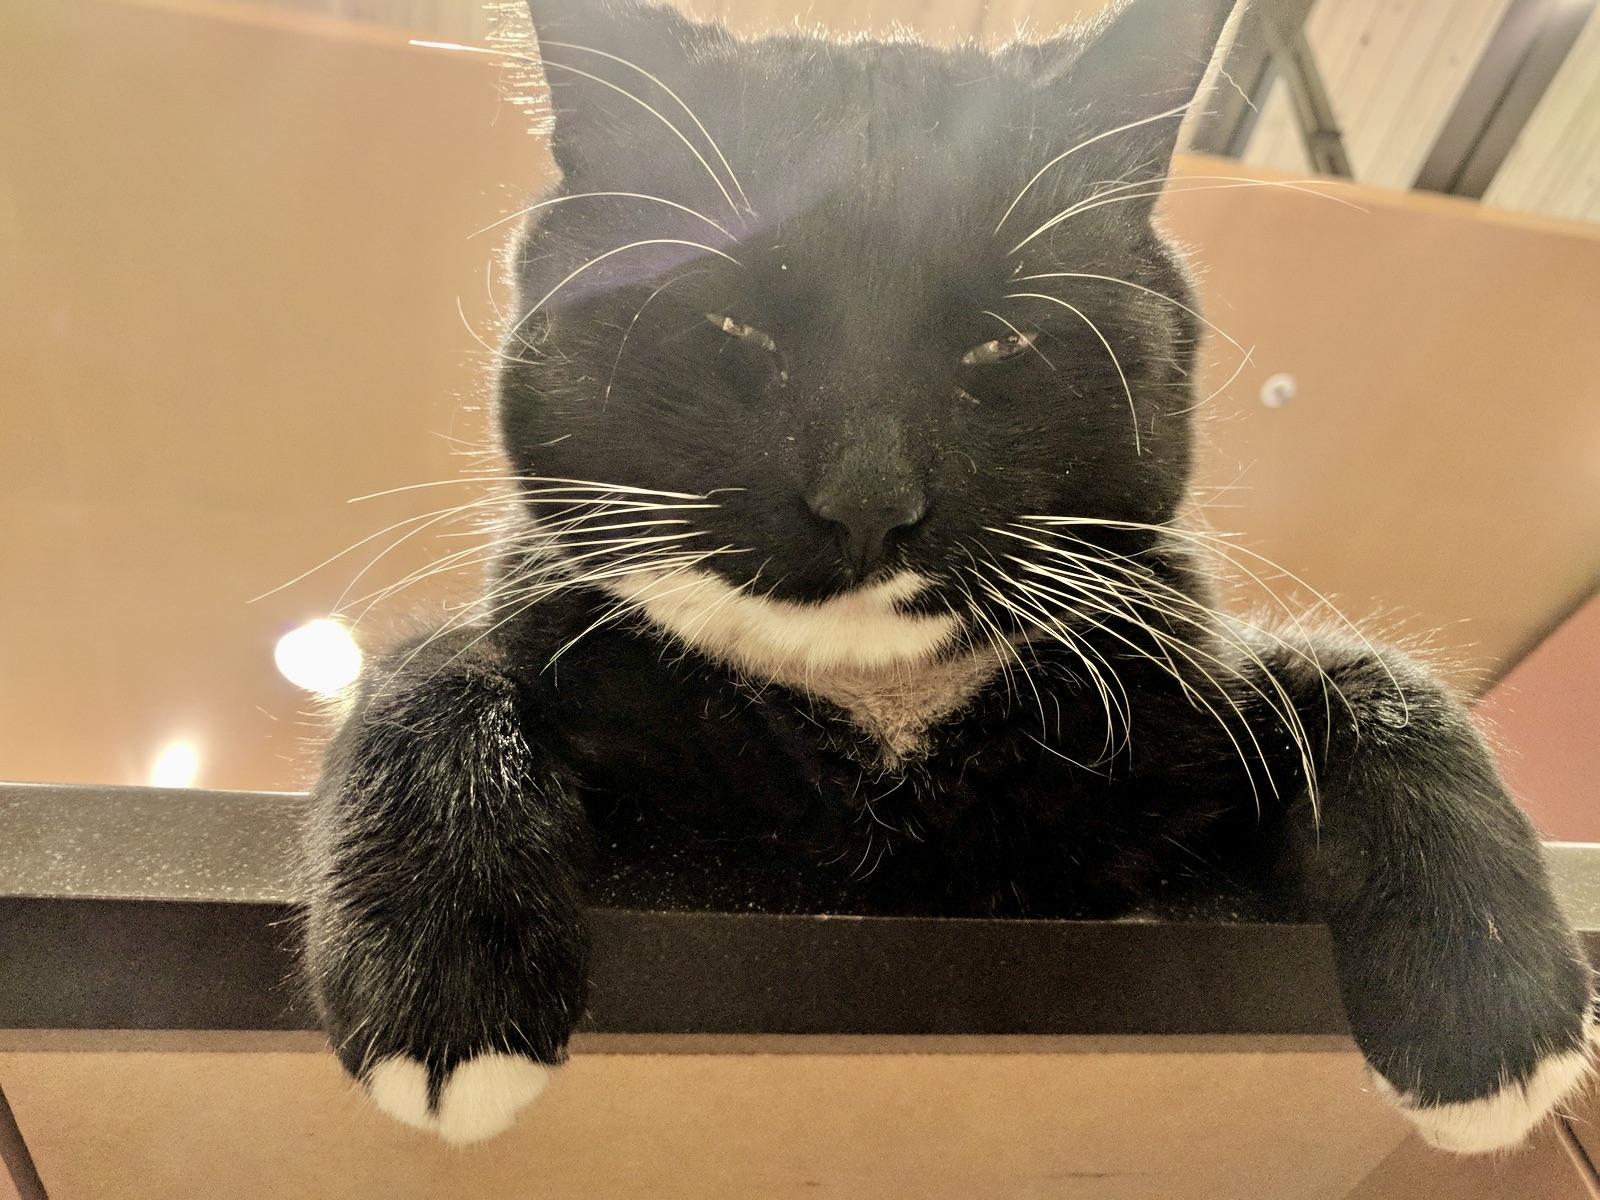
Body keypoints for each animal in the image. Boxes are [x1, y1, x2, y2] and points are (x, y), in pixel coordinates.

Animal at [300, 0, 1587, 1152]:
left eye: (1001, 340)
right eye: (730, 325)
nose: (868, 498)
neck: (880, 722)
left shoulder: (1172, 700)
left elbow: (1365, 675)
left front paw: (1489, 1004)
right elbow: (431, 661)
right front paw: (443, 975)